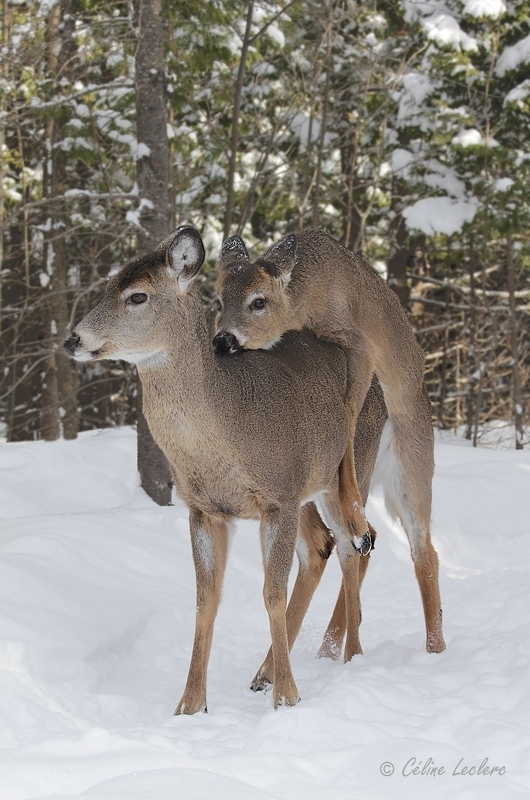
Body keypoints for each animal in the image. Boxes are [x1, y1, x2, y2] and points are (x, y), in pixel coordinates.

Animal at [64, 225, 384, 712]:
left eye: (137, 296)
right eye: (106, 286)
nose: (73, 340)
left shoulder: (278, 498)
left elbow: (270, 593)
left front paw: (289, 699)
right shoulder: (204, 508)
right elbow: (206, 599)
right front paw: (190, 704)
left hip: (348, 470)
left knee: (354, 546)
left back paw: (350, 657)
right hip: (308, 491)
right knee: (322, 547)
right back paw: (264, 673)